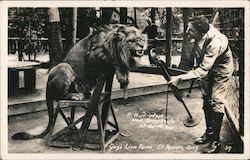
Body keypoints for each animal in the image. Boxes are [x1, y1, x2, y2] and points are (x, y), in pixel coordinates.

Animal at [11, 24, 147, 140]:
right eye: (132, 40)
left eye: (141, 39)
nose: (142, 46)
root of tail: (47, 86)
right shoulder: (95, 57)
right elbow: (114, 61)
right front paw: (122, 76)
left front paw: (125, 79)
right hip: (64, 67)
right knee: (59, 95)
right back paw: (77, 96)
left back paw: (86, 94)